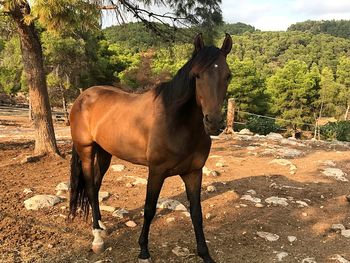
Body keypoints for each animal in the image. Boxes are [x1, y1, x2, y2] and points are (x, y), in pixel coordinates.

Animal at [68, 33, 232, 263]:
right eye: (197, 75)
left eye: (228, 76)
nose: (213, 122)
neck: (176, 121)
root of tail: (82, 97)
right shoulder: (156, 171)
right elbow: (149, 209)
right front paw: (144, 251)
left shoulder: (193, 173)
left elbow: (196, 213)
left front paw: (205, 254)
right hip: (86, 151)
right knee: (91, 188)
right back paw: (97, 236)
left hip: (105, 153)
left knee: (97, 185)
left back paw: (101, 226)